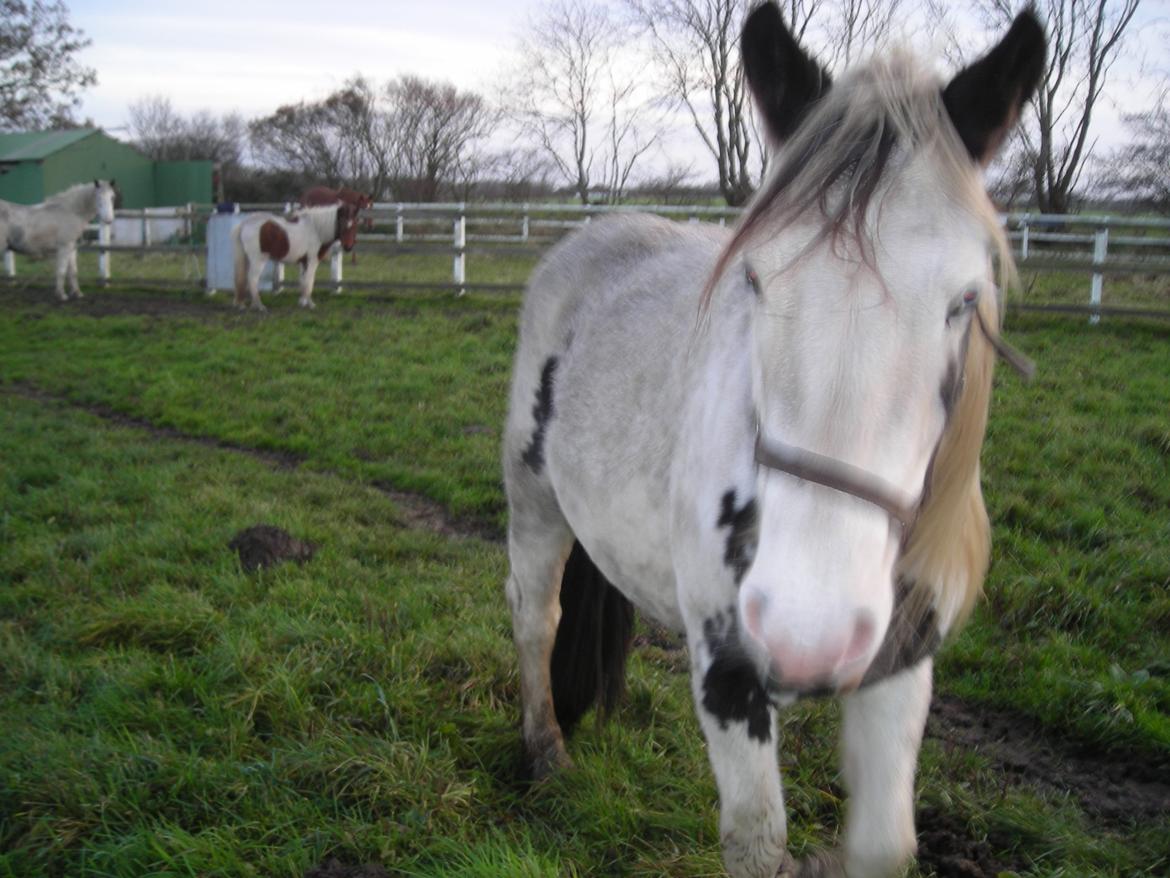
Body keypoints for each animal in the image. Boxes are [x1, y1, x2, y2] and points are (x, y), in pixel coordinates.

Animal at [500, 6, 1043, 878]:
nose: (805, 632)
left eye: (966, 299)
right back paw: (545, 750)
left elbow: (885, 846)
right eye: (754, 280)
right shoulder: (729, 674)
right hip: (535, 502)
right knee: (534, 617)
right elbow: (756, 839)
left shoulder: (901, 667)